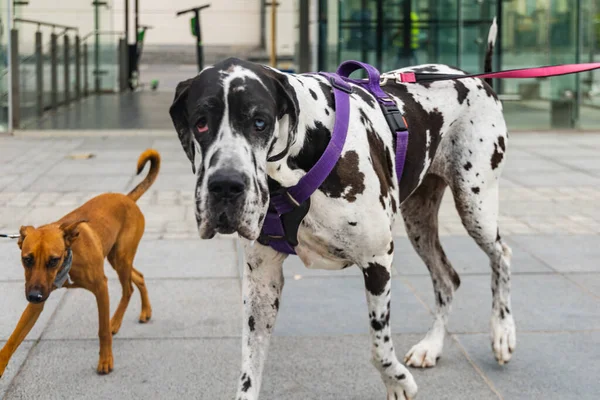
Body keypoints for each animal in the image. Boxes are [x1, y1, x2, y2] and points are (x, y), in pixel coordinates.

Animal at [0, 148, 161, 376]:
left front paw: (105, 360)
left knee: (128, 288)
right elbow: (13, 340)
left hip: (121, 258)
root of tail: (127, 198)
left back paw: (115, 321)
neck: (68, 262)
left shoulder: (101, 287)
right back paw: (144, 312)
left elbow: (102, 330)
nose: (34, 296)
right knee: (138, 276)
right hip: (117, 258)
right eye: (27, 259)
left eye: (54, 260)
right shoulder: (36, 301)